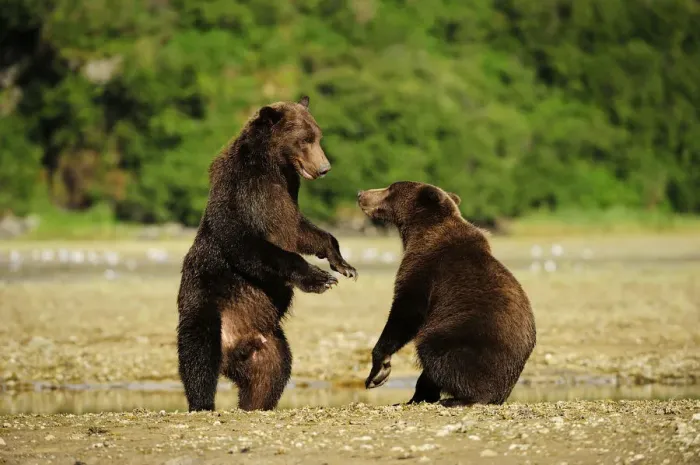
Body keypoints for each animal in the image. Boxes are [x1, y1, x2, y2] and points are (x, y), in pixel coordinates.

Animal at [177, 96, 357, 412]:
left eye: (318, 136)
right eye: (305, 139)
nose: (324, 167)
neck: (272, 168)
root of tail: (233, 350)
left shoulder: (287, 196)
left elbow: (305, 232)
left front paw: (343, 265)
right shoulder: (241, 196)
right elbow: (251, 247)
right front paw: (320, 279)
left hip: (269, 342)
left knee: (272, 373)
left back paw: (256, 404)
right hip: (206, 305)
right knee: (198, 355)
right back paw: (202, 403)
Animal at [357, 181, 535, 406]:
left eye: (390, 189)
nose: (361, 194)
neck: (420, 231)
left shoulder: (424, 271)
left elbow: (405, 313)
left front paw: (378, 371)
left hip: (464, 337)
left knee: (434, 352)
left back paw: (456, 398)